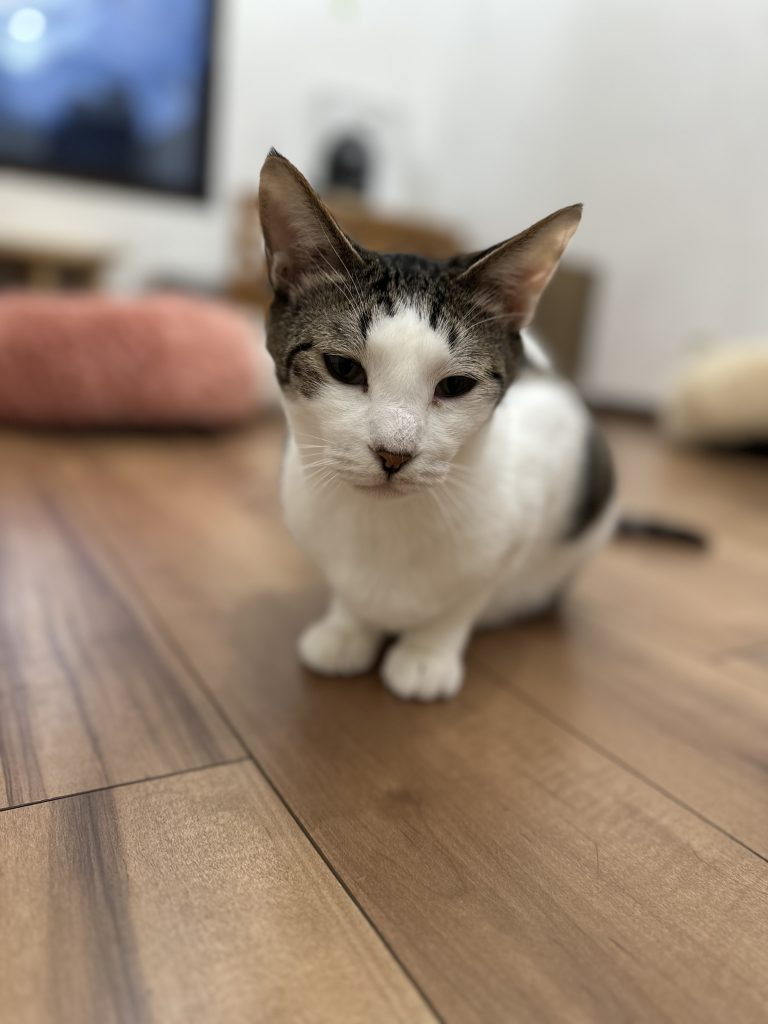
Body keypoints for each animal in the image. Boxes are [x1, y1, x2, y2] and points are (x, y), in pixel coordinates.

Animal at [258, 149, 617, 701]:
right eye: (343, 368)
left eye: (455, 386)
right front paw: (347, 628)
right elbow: (348, 594)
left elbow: (465, 597)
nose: (393, 454)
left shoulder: (544, 471)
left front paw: (427, 653)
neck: (383, 525)